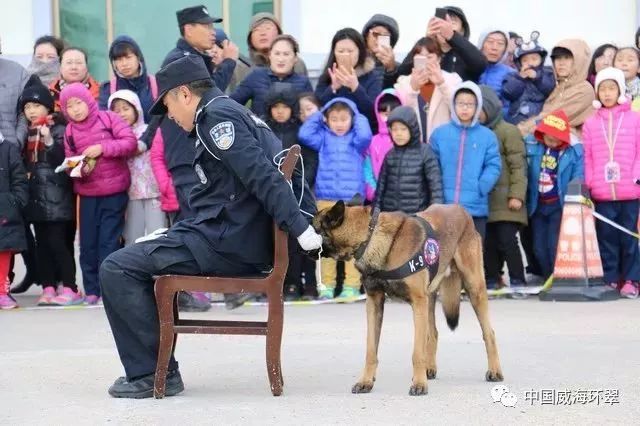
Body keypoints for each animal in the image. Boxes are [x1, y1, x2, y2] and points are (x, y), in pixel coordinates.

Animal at [316, 203, 504, 396]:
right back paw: (430, 369)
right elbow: (371, 350)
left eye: (314, 225)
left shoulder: (418, 302)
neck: (370, 236)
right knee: (433, 333)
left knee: (489, 333)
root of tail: (460, 208)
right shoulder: (374, 303)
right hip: (430, 298)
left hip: (474, 289)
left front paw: (419, 384)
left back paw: (495, 371)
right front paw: (366, 381)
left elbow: (417, 353)